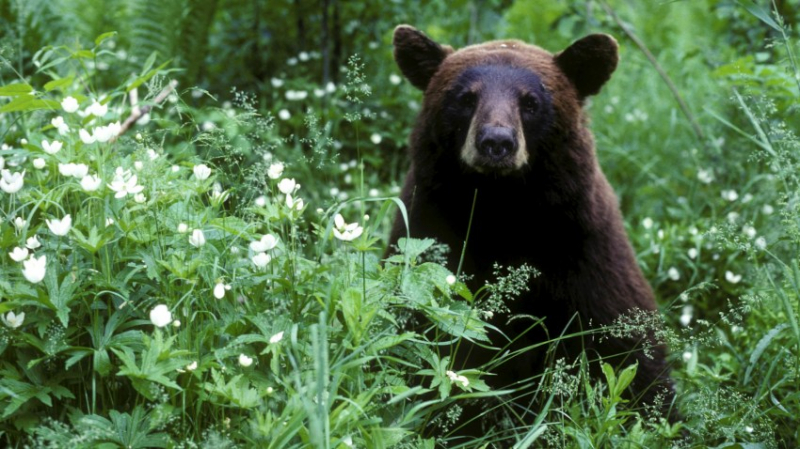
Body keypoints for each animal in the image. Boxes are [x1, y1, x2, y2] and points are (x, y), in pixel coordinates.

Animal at [388, 25, 676, 434]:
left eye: (532, 102)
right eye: (465, 98)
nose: (496, 142)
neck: (504, 210)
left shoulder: (585, 248)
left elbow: (627, 345)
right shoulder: (429, 228)